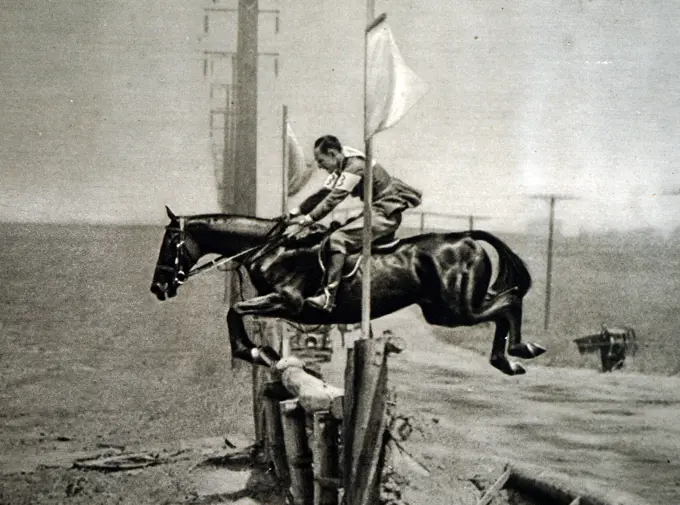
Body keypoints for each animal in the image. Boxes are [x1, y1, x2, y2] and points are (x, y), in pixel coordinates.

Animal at [150, 205, 548, 374]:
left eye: (170, 242)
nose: (157, 287)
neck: (271, 248)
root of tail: (466, 237)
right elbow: (237, 312)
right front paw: (264, 352)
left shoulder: (289, 302)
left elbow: (234, 311)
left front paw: (255, 352)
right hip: (443, 309)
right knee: (505, 304)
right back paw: (511, 357)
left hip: (455, 309)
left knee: (509, 302)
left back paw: (517, 353)